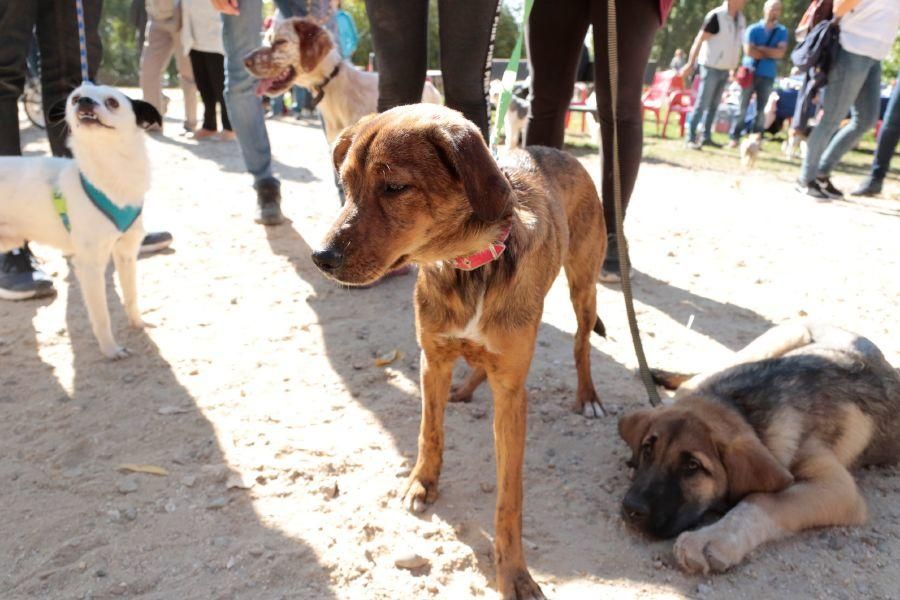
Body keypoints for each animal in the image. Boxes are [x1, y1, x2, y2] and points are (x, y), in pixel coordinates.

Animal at [0, 82, 160, 358]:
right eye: (74, 98)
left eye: (112, 102)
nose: (84, 101)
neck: (112, 171)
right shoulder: (90, 265)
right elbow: (102, 315)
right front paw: (110, 349)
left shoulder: (126, 253)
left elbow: (131, 296)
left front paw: (138, 323)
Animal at [312, 105, 612, 596]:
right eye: (346, 184)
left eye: (395, 187)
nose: (320, 257)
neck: (467, 266)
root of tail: (558, 152)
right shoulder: (431, 360)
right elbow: (429, 433)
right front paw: (422, 483)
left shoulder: (511, 392)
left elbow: (510, 497)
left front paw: (513, 572)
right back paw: (468, 386)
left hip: (584, 288)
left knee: (581, 344)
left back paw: (587, 397)